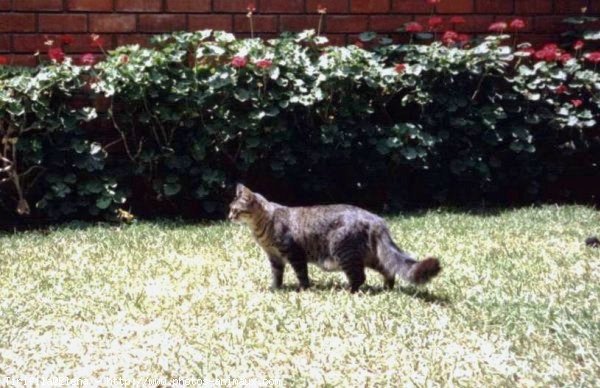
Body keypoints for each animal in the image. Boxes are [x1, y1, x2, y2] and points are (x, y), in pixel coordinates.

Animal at [230, 183, 440, 292]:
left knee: (359, 277)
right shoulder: (274, 257)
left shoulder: (294, 253)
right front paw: (275, 288)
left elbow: (302, 275)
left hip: (344, 251)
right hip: (369, 256)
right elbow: (276, 276)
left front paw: (303, 289)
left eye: (235, 210)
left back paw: (349, 291)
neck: (263, 227)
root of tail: (375, 219)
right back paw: (386, 288)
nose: (229, 216)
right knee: (389, 269)